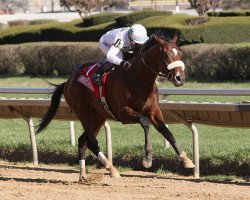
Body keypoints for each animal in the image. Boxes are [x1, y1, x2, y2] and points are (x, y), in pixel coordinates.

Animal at [36, 34, 194, 181]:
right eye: (165, 54)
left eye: (180, 53)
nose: (180, 78)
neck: (137, 79)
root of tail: (68, 82)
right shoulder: (123, 113)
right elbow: (145, 122)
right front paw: (147, 159)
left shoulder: (153, 111)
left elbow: (167, 132)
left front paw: (186, 160)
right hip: (82, 111)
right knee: (92, 142)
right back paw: (111, 169)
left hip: (98, 116)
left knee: (83, 141)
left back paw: (83, 175)